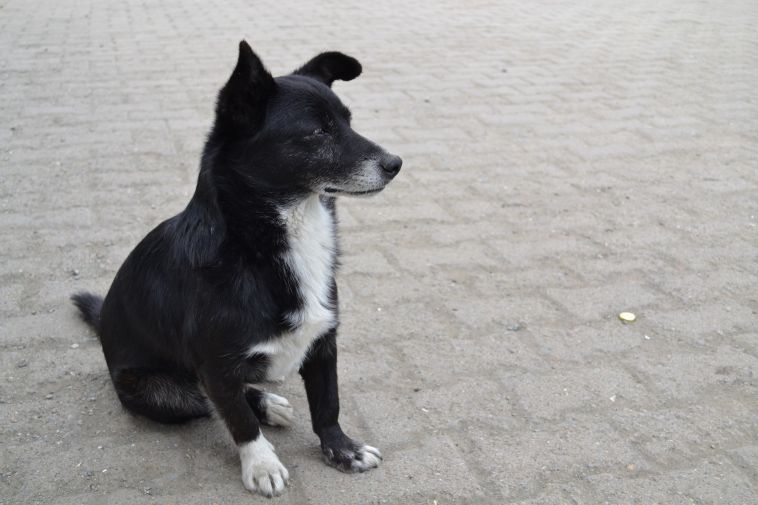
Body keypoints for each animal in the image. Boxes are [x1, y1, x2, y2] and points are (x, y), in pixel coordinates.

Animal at [72, 39, 404, 496]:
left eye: (348, 122)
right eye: (318, 131)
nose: (396, 164)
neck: (262, 246)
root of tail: (104, 322)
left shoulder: (324, 344)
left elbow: (328, 404)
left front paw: (341, 449)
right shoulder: (215, 364)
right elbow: (239, 421)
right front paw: (261, 464)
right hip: (155, 391)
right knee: (203, 399)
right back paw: (263, 405)